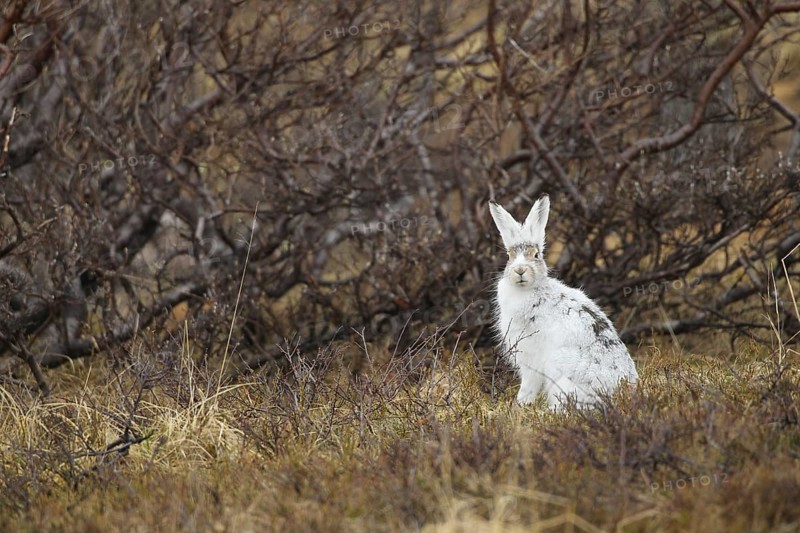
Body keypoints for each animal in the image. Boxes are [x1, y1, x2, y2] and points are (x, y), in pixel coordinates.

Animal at [489, 195, 638, 409]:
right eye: (509, 256)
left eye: (536, 255)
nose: (520, 270)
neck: (527, 290)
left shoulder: (530, 356)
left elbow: (528, 384)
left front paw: (520, 405)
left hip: (561, 372)